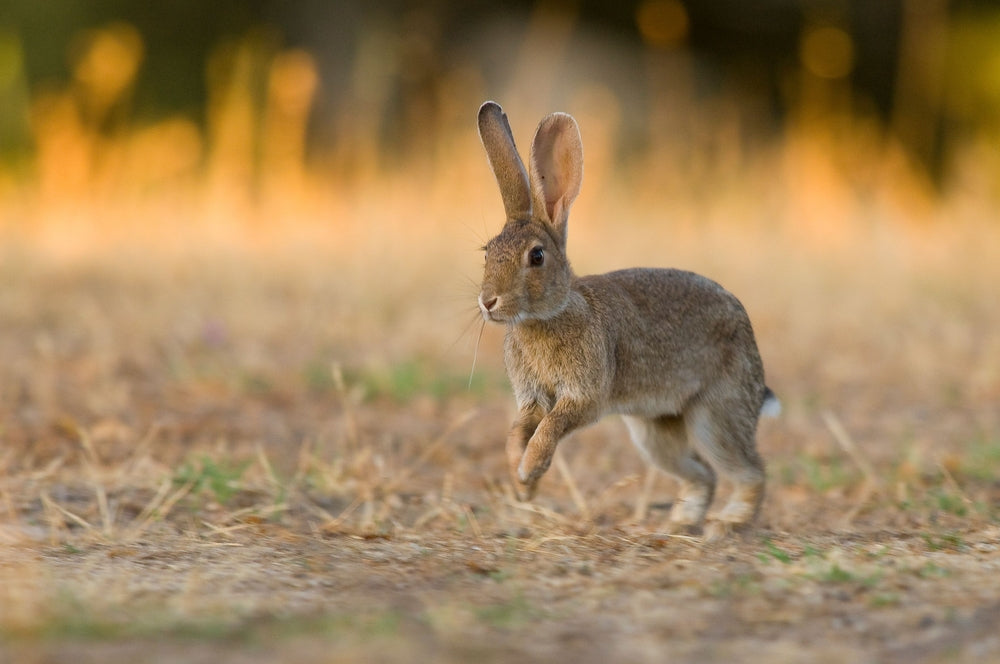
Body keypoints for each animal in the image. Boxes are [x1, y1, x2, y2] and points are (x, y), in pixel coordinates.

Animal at [475, 101, 779, 541]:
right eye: (487, 252)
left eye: (536, 256)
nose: (488, 302)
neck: (548, 316)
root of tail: (749, 334)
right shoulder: (532, 398)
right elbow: (520, 429)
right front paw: (522, 480)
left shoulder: (585, 395)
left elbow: (551, 427)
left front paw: (529, 469)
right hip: (655, 432)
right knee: (702, 474)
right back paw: (679, 523)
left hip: (716, 415)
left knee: (749, 470)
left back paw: (727, 524)